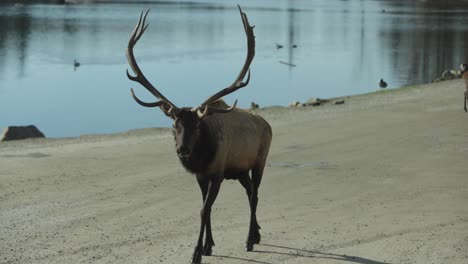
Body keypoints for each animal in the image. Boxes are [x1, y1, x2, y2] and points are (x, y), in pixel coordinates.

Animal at [126, 6, 272, 264]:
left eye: (196, 126)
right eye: (174, 125)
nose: (182, 149)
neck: (203, 157)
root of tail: (268, 125)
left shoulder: (218, 173)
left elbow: (203, 209)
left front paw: (196, 253)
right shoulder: (202, 176)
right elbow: (207, 208)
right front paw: (208, 246)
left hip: (259, 161)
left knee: (255, 195)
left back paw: (248, 240)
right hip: (240, 170)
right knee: (249, 192)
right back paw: (256, 234)